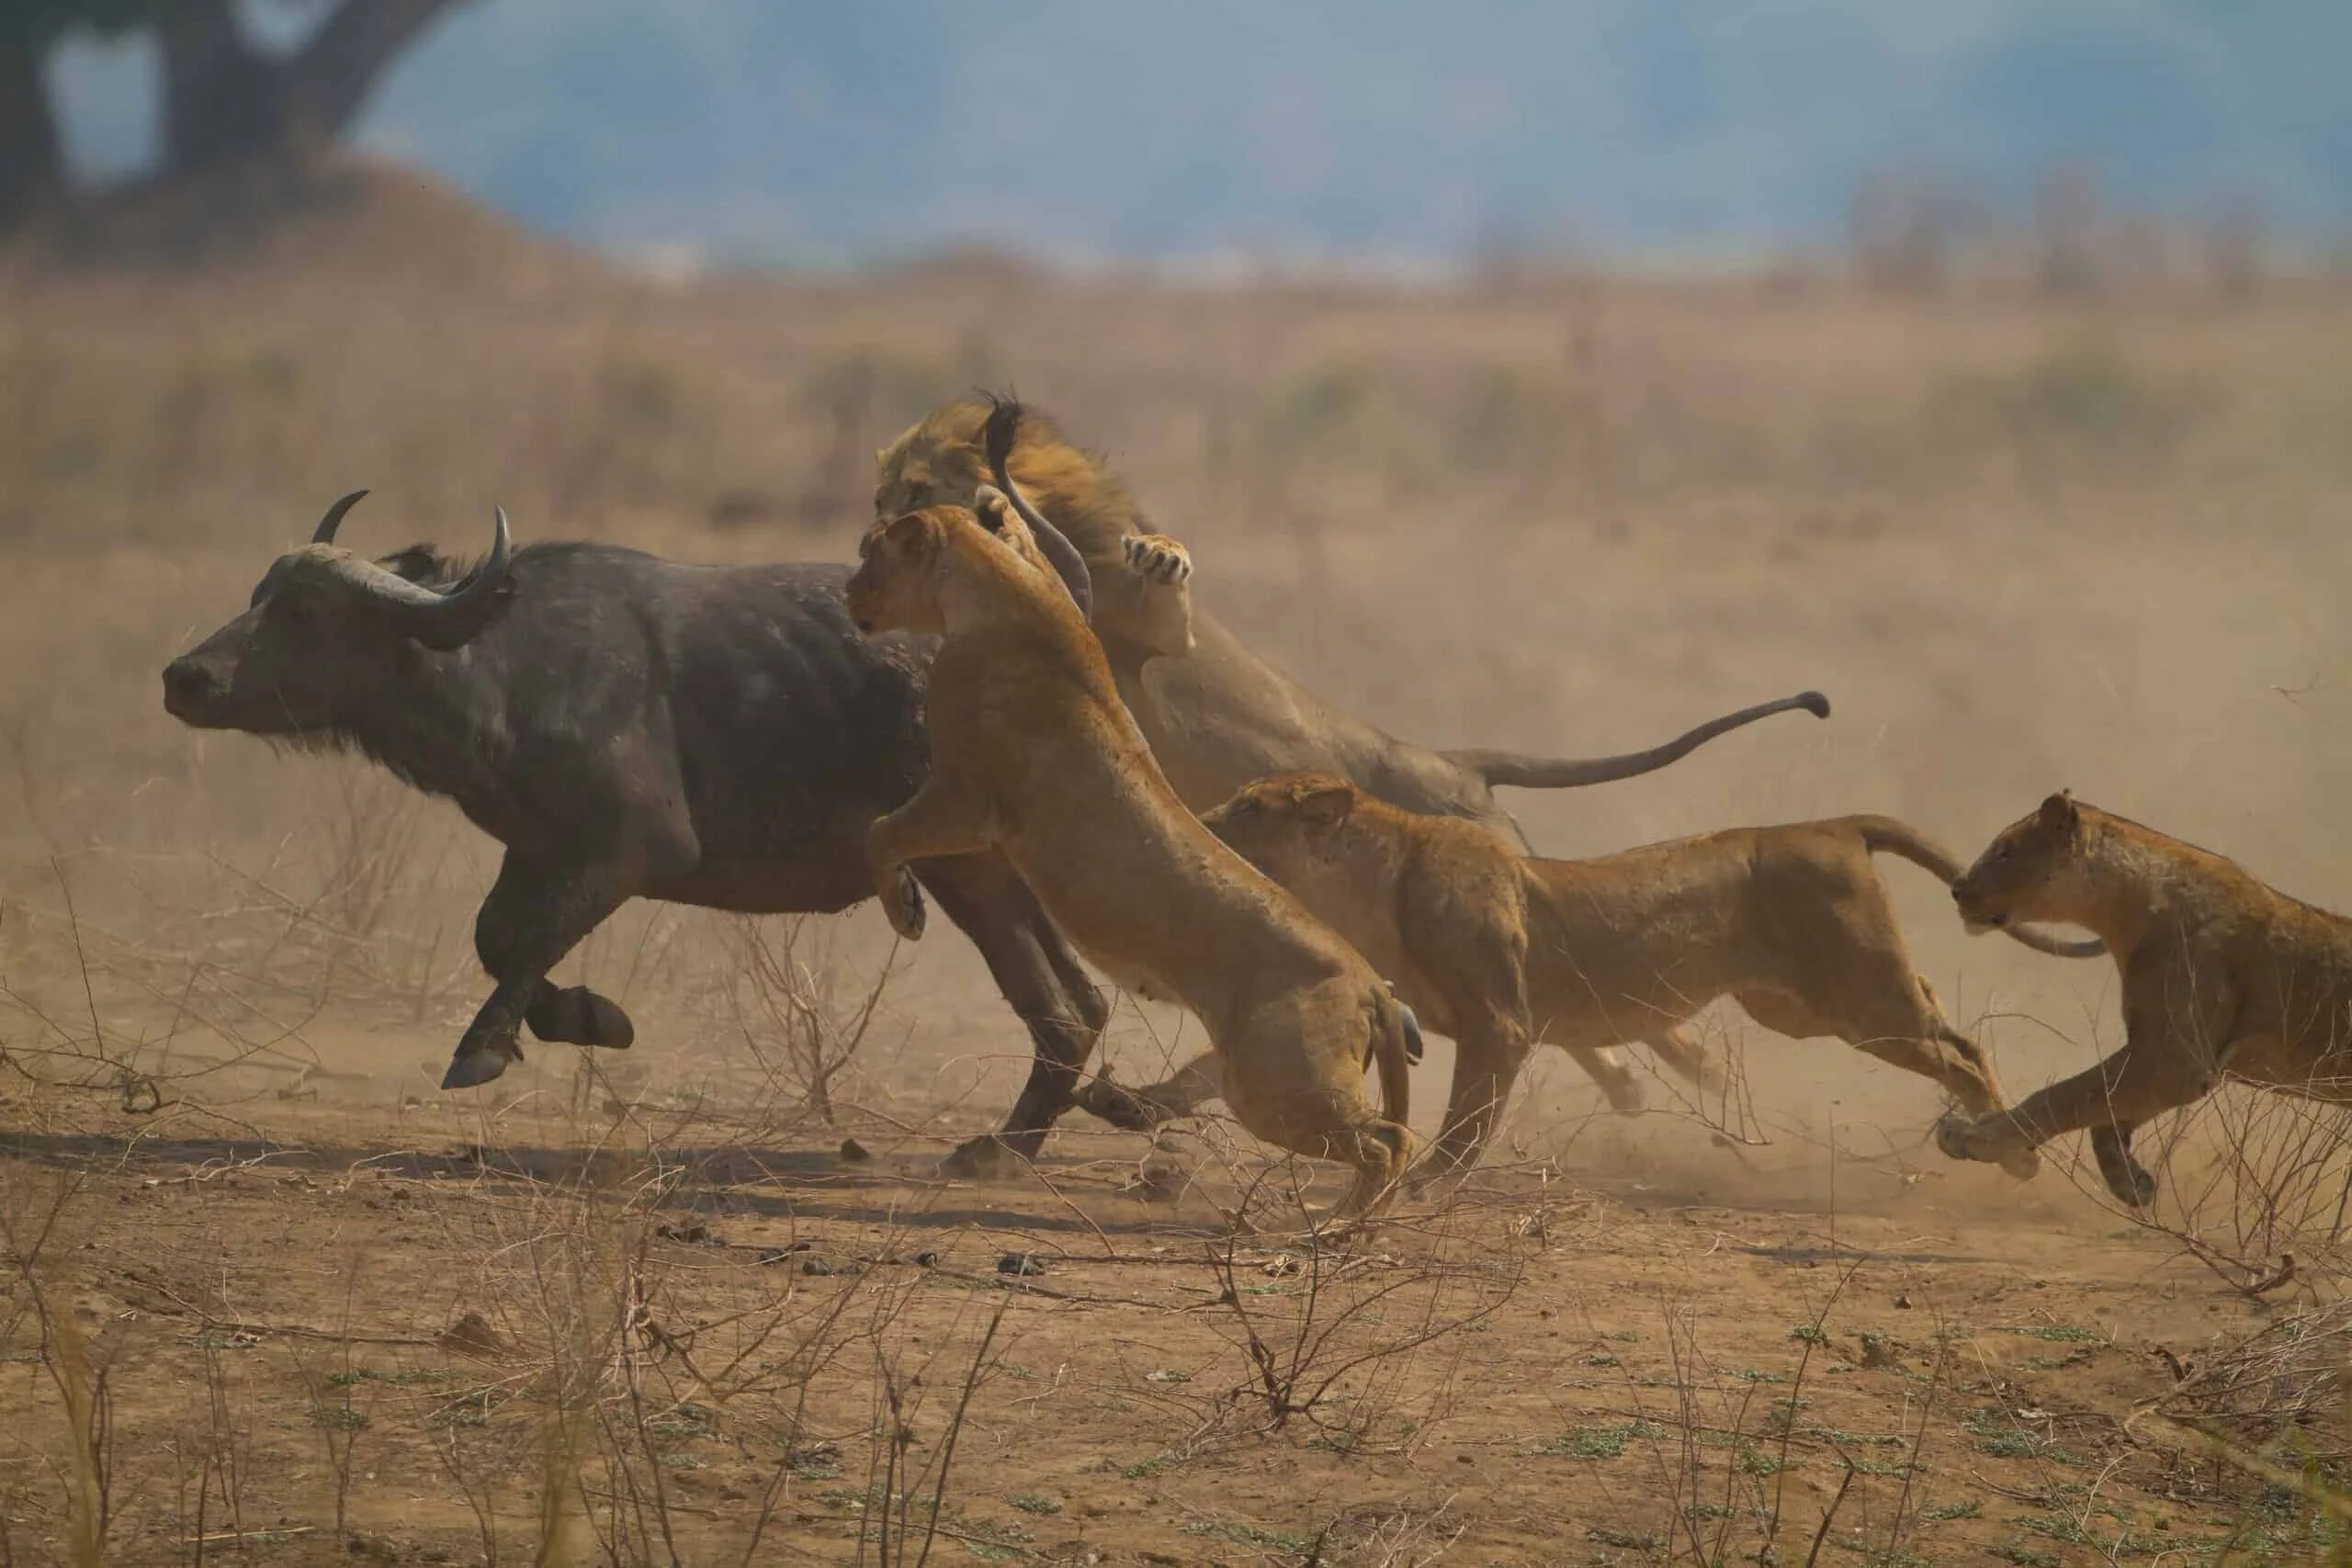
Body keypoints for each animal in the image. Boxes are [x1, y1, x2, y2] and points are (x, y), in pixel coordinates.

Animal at [163, 491, 1119, 1166]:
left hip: (970, 871)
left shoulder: (629, 849)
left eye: (305, 614)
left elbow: (530, 937)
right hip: (1004, 873)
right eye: (260, 594)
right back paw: (1012, 1144)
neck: (503, 666)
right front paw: (591, 1016)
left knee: (1060, 1007)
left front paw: (484, 1049)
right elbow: (495, 936)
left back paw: (1001, 1151)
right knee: (1079, 1007)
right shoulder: (535, 846)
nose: (184, 678)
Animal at [1928, 789, 2352, 1213]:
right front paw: (2131, 1182)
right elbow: (2104, 1113)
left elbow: (2062, 1096)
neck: (2124, 908)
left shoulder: (2171, 1061)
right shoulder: (2166, 1061)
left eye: (2006, 852)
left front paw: (1976, 1138)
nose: (1957, 889)